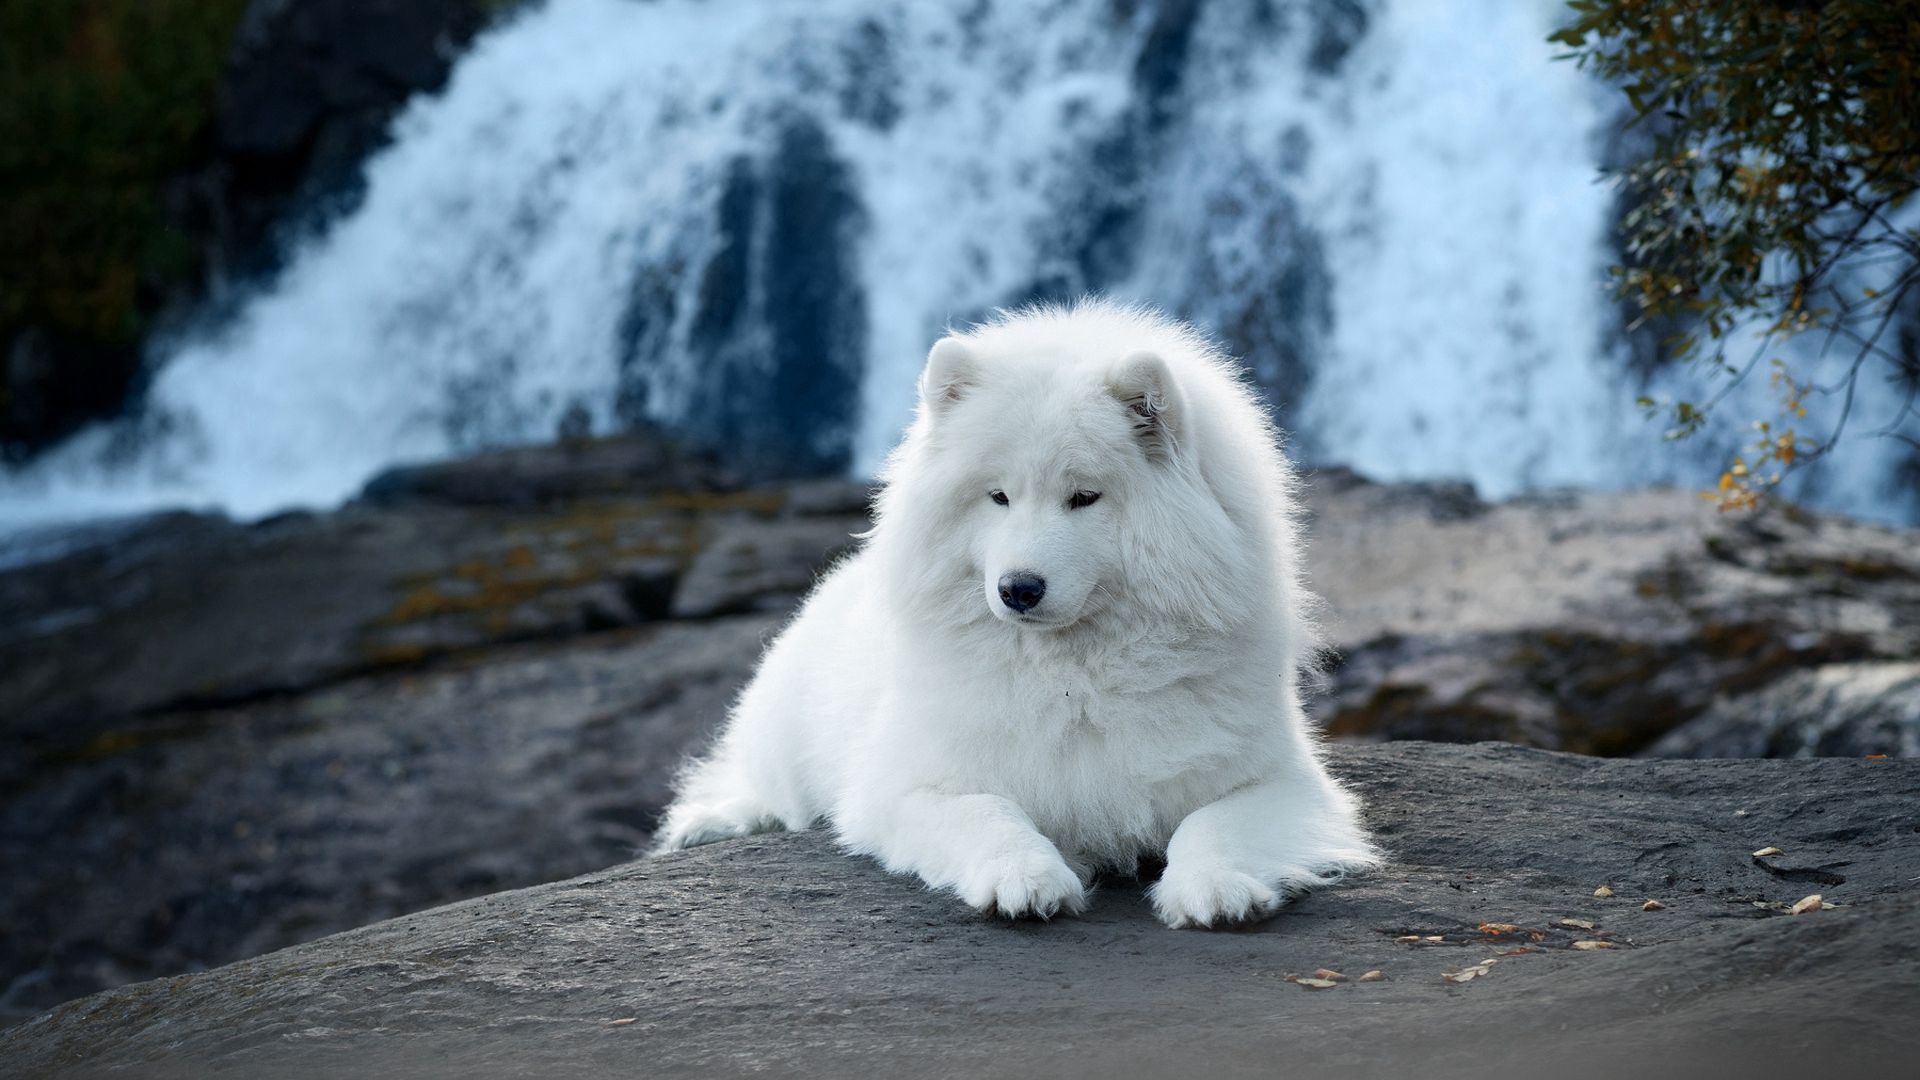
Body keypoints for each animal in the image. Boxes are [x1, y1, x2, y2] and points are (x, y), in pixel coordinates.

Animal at [660, 297, 1382, 922]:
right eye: (998, 496)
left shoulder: (1281, 781)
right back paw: (713, 823)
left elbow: (1214, 823)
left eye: (1084, 497)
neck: (1074, 676)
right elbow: (986, 812)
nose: (1018, 588)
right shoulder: (905, 787)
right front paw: (1026, 878)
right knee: (754, 785)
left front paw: (1215, 885)